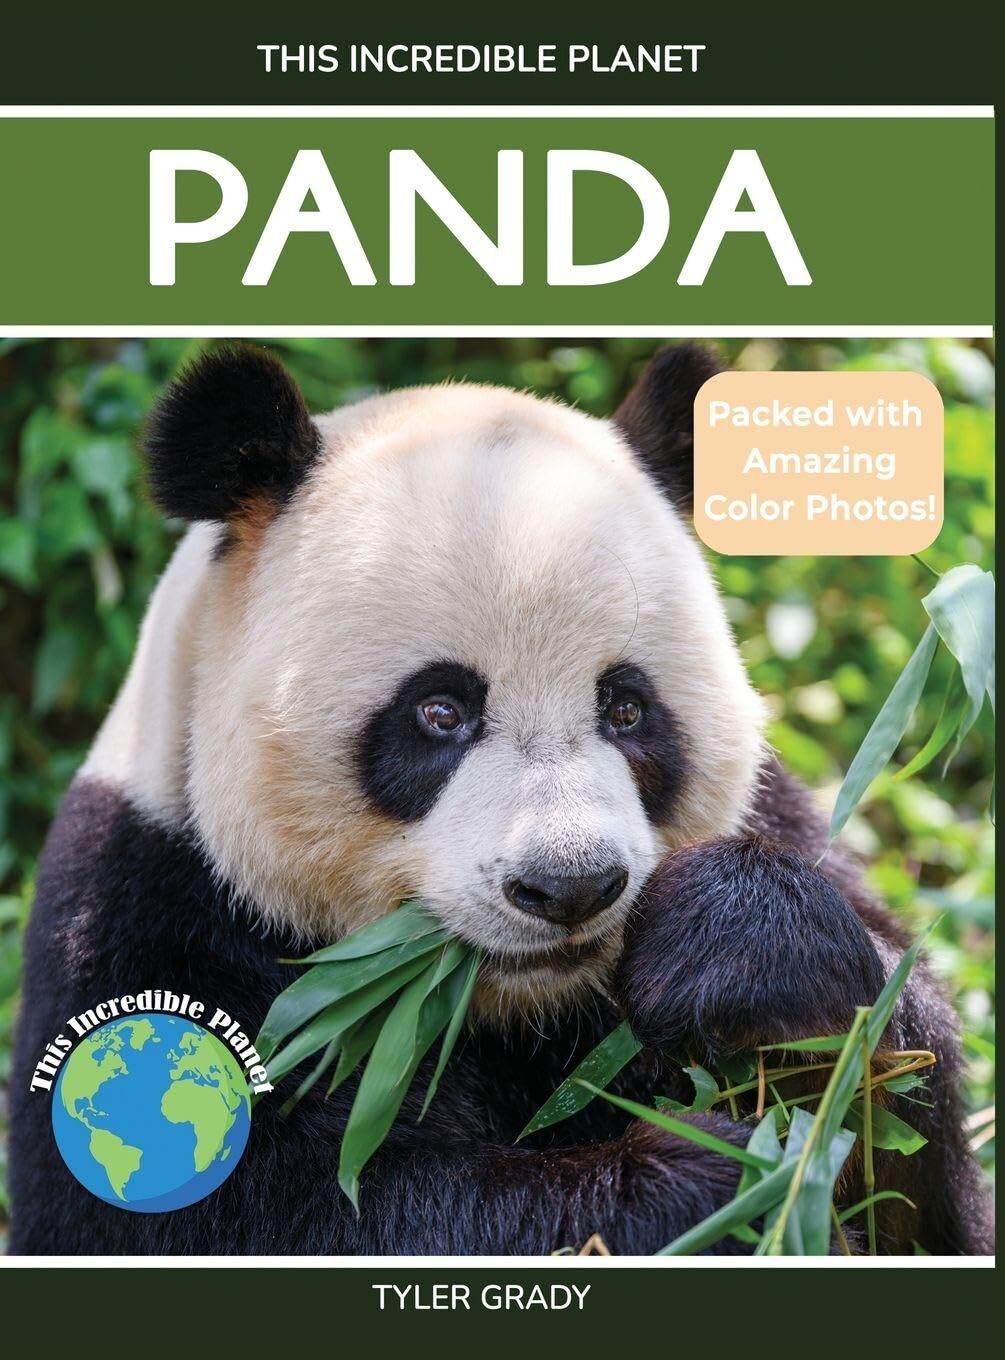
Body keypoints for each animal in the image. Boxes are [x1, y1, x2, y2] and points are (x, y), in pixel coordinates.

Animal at [9, 343, 991, 1256]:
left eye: (626, 707)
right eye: (439, 712)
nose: (570, 887)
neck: (521, 1008)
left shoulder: (776, 813)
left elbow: (916, 1168)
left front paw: (751, 971)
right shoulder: (149, 913)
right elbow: (294, 1211)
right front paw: (706, 1193)